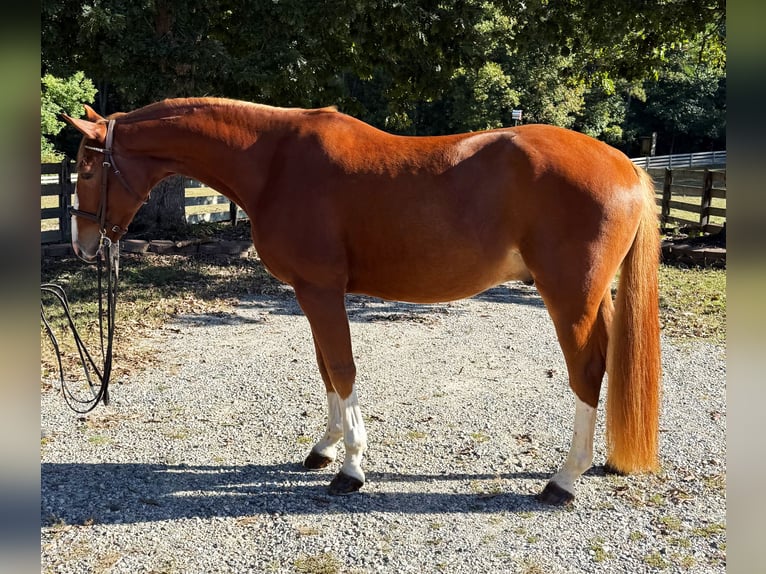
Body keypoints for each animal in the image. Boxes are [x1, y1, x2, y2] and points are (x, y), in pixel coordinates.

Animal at [62, 97, 661, 505]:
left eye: (88, 167)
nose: (83, 245)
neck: (275, 164)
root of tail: (625, 165)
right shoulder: (311, 294)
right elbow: (326, 369)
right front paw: (324, 448)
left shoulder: (321, 291)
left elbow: (343, 368)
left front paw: (350, 469)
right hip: (593, 298)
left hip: (570, 296)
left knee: (587, 370)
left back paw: (564, 479)